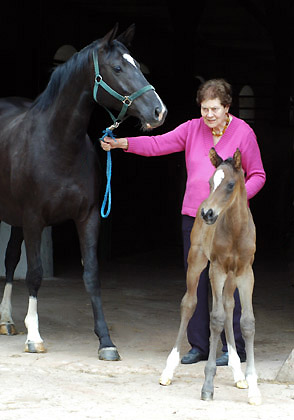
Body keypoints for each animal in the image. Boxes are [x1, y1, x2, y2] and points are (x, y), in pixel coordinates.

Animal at [0, 23, 167, 360]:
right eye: (118, 67)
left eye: (137, 64)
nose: (159, 111)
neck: (57, 143)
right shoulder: (34, 219)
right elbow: (35, 273)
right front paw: (34, 337)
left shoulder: (87, 217)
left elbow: (91, 274)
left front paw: (106, 341)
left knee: (10, 259)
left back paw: (7, 320)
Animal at [160, 149, 260, 406]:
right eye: (209, 183)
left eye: (230, 185)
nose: (208, 213)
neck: (235, 231)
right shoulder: (216, 269)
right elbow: (215, 318)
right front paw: (207, 386)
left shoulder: (246, 272)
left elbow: (246, 321)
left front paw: (253, 388)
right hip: (196, 261)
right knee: (189, 304)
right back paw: (168, 370)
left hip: (232, 276)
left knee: (229, 305)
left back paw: (237, 373)